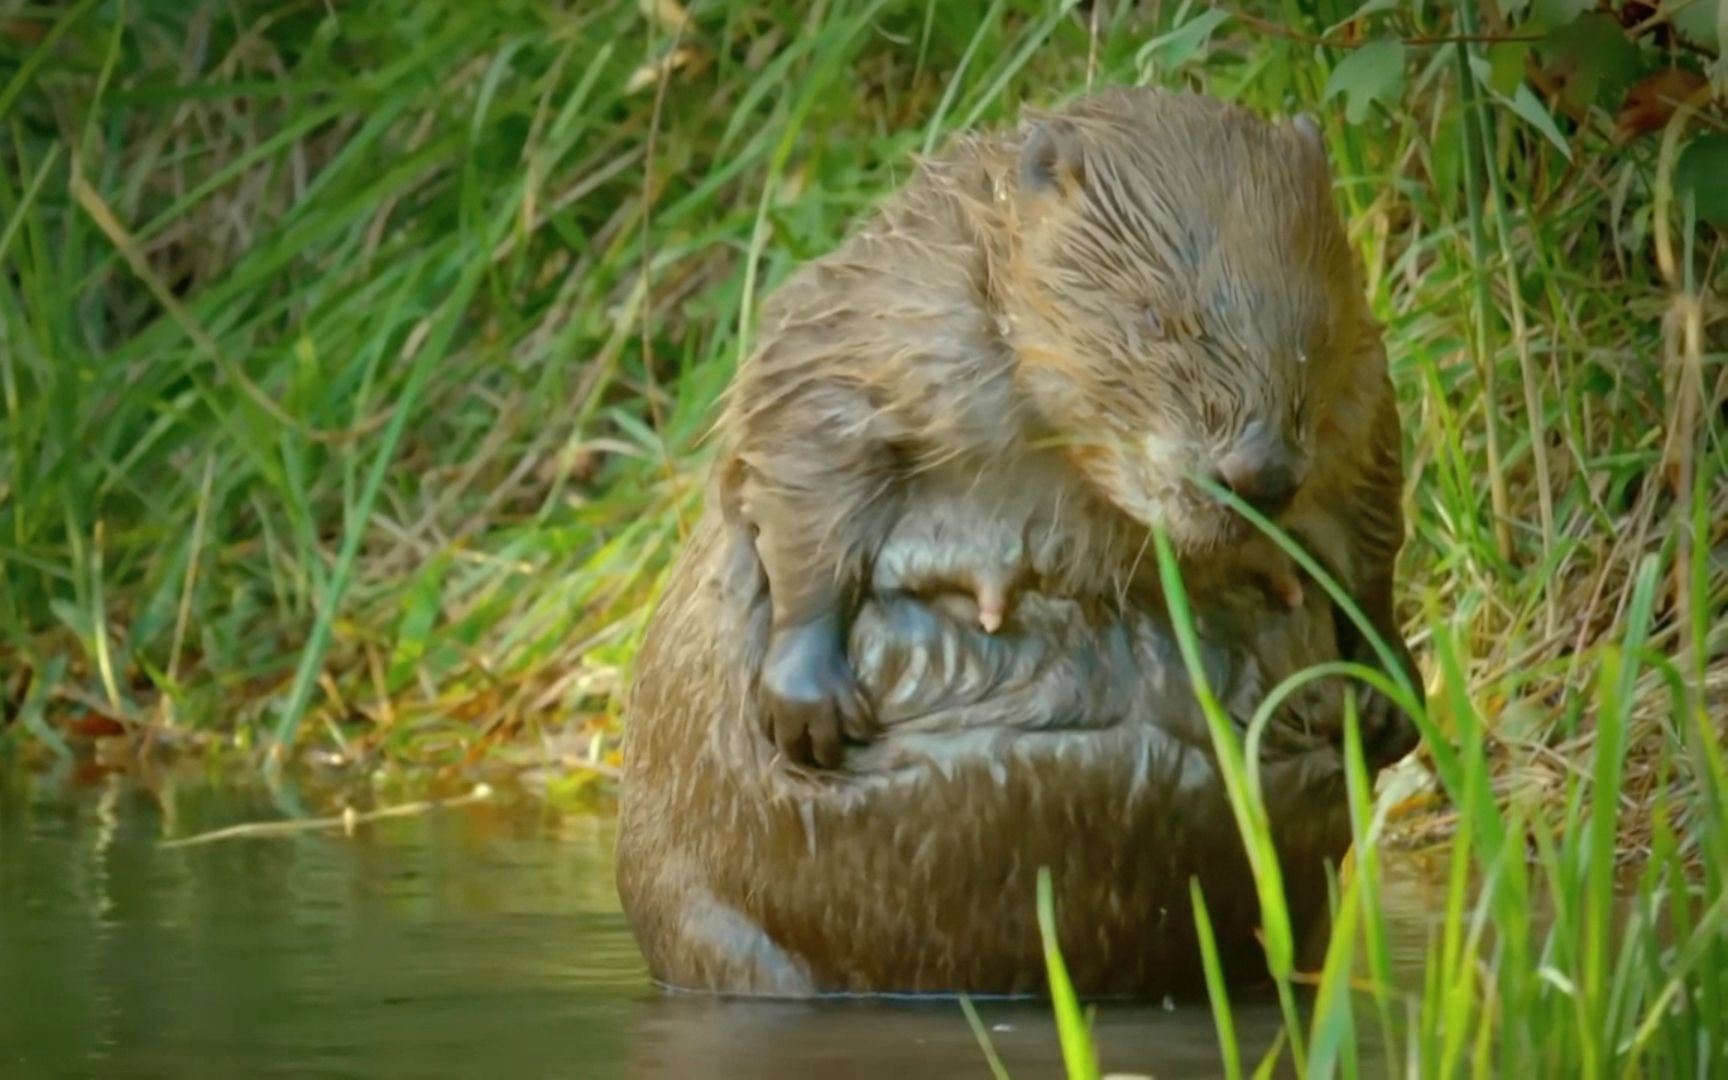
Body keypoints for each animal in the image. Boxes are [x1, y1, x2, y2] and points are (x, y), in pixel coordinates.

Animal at [722, 88, 1423, 770]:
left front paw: (1391, 689)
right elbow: (804, 434)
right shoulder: (891, 316)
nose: (1259, 473)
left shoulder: (1361, 396)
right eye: (1154, 318)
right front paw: (809, 701)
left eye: (1317, 330)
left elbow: (1369, 524)